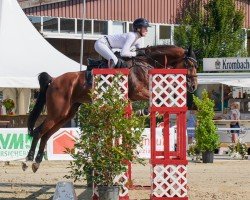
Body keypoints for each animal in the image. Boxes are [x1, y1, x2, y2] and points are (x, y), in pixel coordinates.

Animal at [23, 45, 199, 172]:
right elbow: (154, 98)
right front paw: (142, 111)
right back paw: (27, 161)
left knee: (46, 135)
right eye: (190, 64)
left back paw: (36, 162)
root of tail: (54, 80)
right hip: (57, 112)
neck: (145, 64)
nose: (193, 86)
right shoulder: (138, 92)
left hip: (66, 114)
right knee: (38, 132)